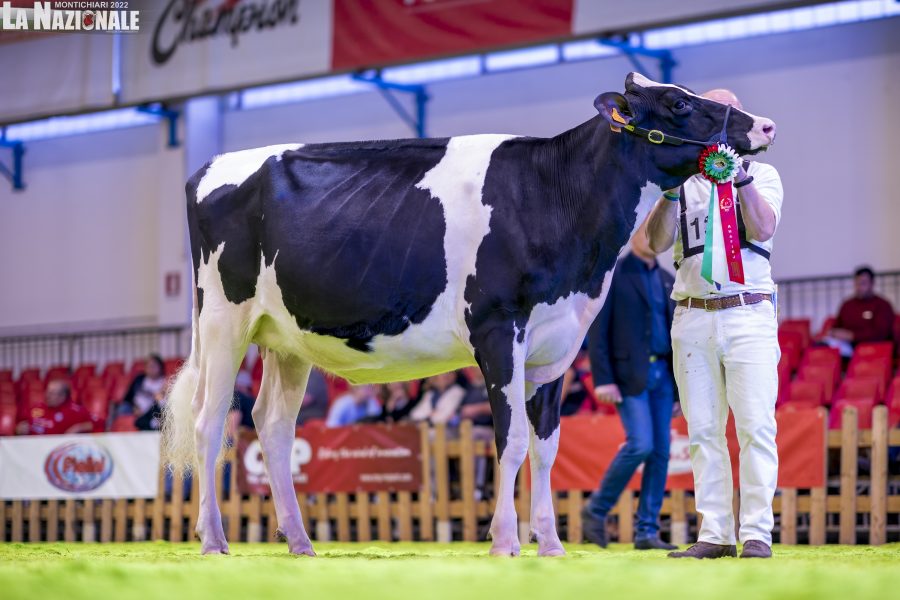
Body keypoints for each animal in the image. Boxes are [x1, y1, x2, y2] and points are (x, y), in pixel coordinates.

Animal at [163, 72, 777, 556]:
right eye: (677, 103)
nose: (766, 125)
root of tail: (208, 167)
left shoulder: (557, 343)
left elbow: (547, 447)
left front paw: (551, 545)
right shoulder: (498, 327)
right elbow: (511, 439)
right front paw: (505, 542)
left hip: (286, 338)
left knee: (272, 426)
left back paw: (300, 542)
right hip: (222, 319)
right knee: (210, 420)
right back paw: (213, 541)